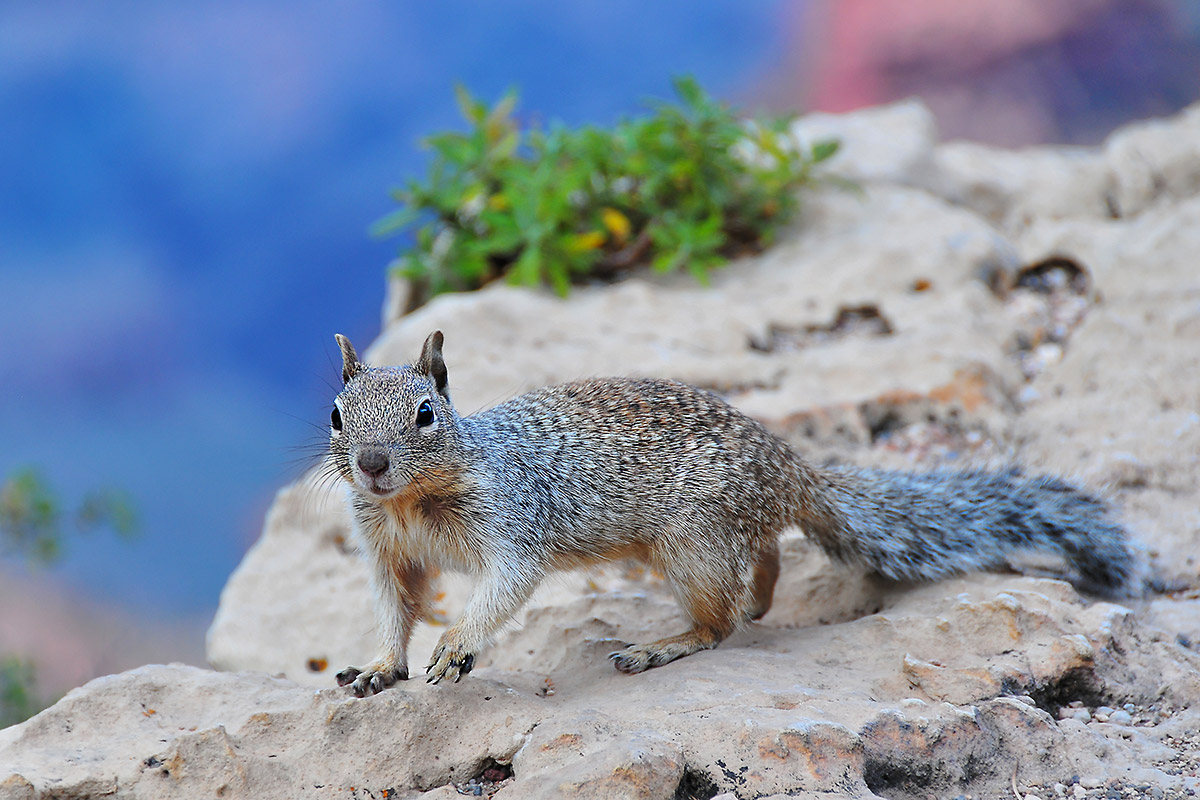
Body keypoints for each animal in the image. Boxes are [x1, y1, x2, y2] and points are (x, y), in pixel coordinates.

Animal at [327, 330, 1134, 695]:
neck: (410, 502)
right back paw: (759, 600)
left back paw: (663, 644)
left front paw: (457, 645)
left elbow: (504, 587)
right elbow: (394, 608)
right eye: (336, 415)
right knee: (766, 559)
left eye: (427, 414)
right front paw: (380, 666)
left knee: (720, 620)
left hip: (692, 545)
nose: (371, 463)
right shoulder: (386, 553)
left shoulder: (512, 522)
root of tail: (792, 469)